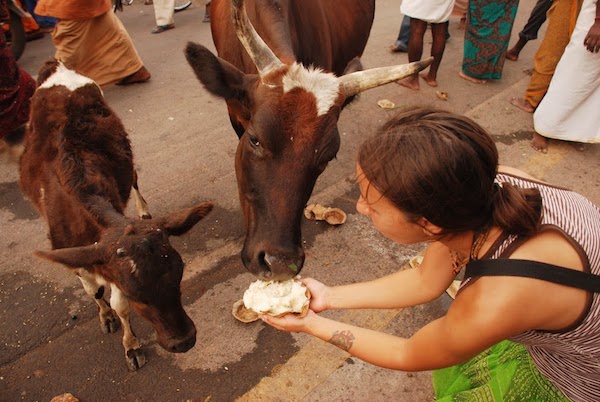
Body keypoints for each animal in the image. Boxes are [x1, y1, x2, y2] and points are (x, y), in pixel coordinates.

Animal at [19, 59, 213, 370]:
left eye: (179, 275)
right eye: (136, 293)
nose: (183, 341)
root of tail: (55, 65)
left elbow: (118, 304)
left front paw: (131, 345)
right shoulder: (79, 255)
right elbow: (94, 292)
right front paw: (106, 316)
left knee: (134, 178)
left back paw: (143, 210)